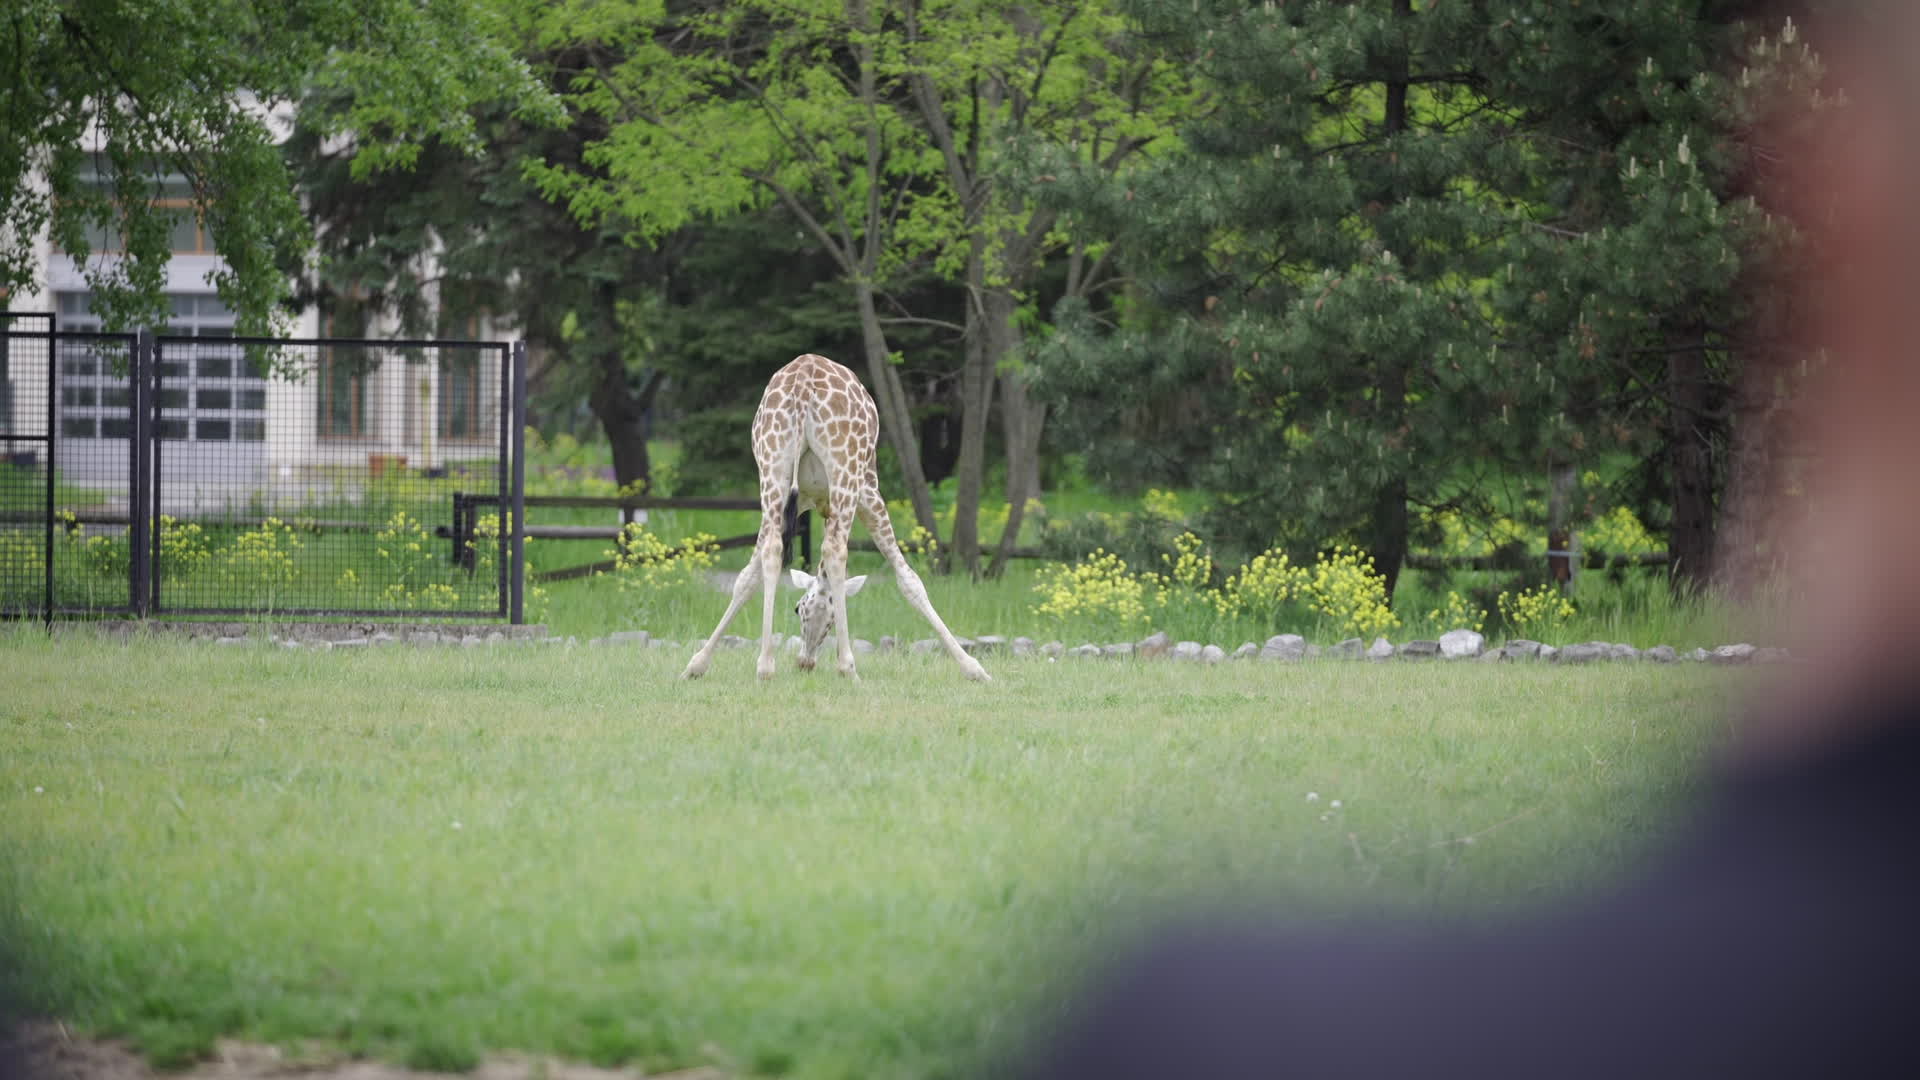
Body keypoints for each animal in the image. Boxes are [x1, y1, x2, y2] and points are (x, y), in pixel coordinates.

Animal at [680, 354, 991, 682]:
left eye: (798, 608)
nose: (805, 663)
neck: (819, 503)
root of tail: (804, 377)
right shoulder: (869, 494)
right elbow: (909, 579)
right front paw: (973, 668)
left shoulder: (800, 502)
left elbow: (747, 578)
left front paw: (697, 664)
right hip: (846, 471)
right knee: (835, 550)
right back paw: (848, 668)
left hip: (771, 471)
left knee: (772, 551)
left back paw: (765, 667)